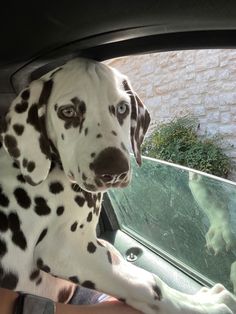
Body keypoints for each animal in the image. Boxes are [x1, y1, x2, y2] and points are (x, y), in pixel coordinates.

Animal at [0, 57, 236, 312]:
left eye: (122, 108)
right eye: (68, 112)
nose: (114, 170)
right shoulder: (66, 250)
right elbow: (151, 285)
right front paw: (209, 306)